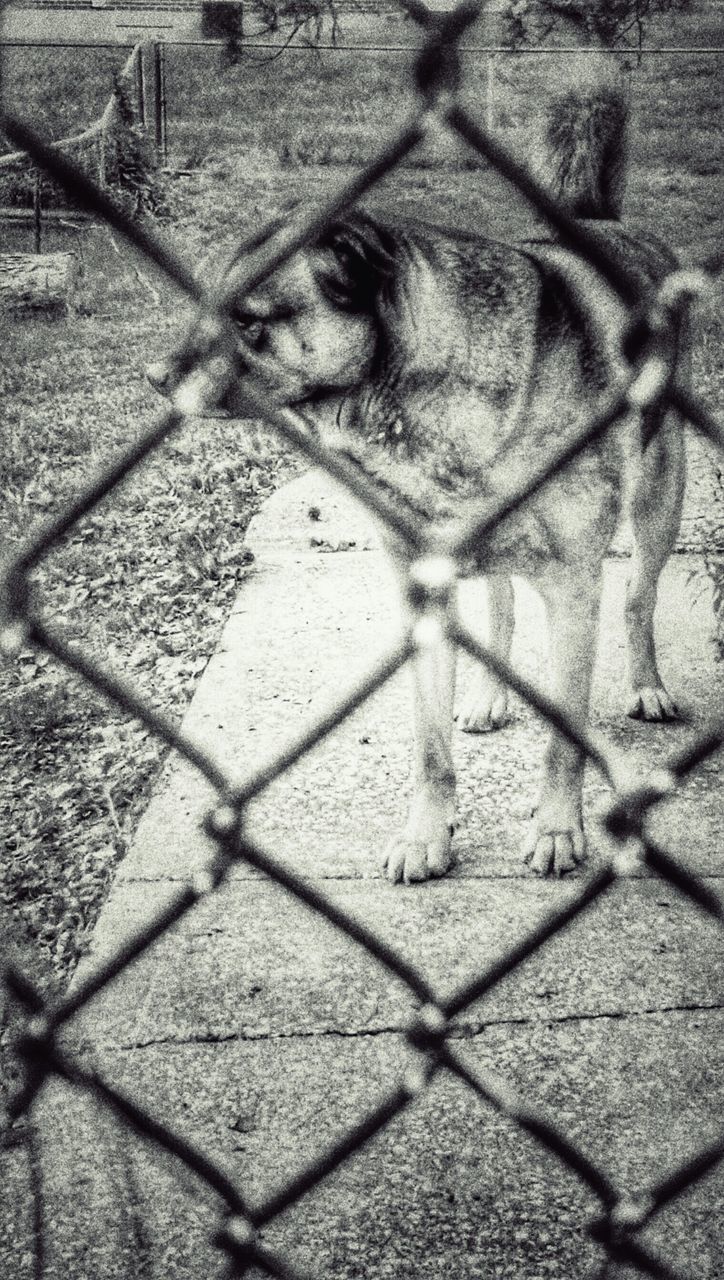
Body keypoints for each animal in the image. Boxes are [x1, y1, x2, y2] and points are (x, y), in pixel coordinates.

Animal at [146, 49, 685, 885]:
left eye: (247, 320)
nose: (153, 378)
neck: (408, 404)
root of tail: (604, 223)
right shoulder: (426, 593)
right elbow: (430, 747)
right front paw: (428, 835)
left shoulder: (575, 587)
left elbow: (563, 738)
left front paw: (557, 828)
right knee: (500, 606)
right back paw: (492, 695)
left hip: (661, 496)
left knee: (638, 601)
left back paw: (648, 686)